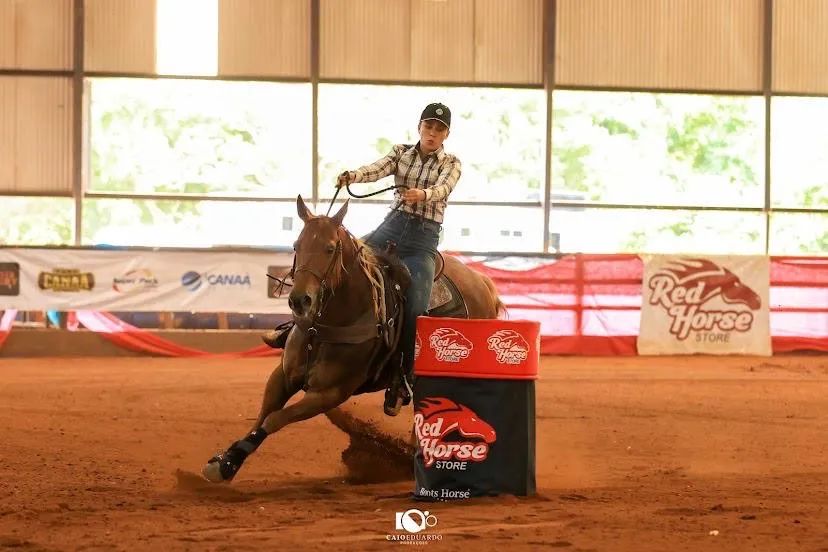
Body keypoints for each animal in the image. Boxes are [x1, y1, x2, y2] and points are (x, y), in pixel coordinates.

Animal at [202, 195, 504, 483]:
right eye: (297, 244)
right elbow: (264, 414)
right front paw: (227, 462)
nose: (300, 300)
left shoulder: (330, 393)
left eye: (330, 248)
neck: (325, 327)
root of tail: (483, 283)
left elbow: (275, 419)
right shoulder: (283, 376)